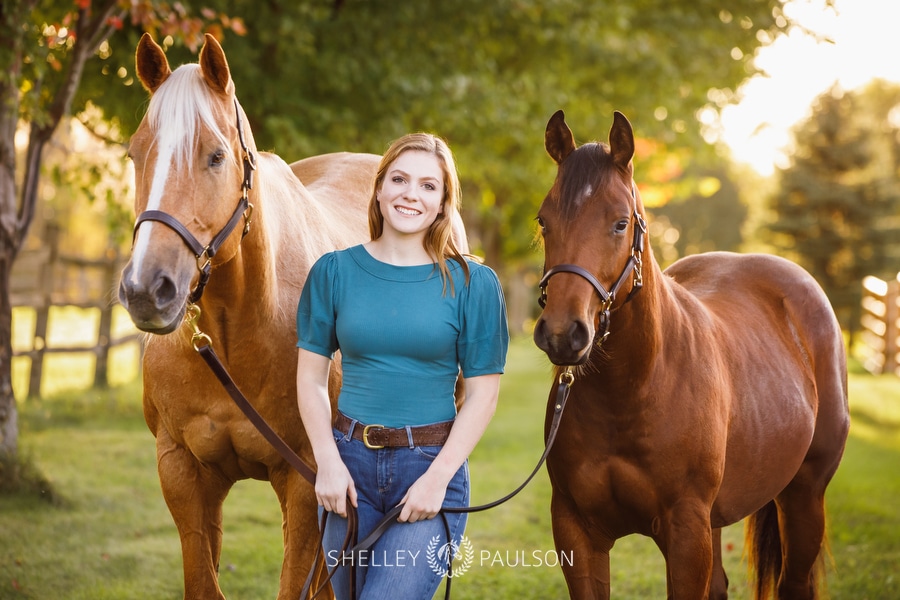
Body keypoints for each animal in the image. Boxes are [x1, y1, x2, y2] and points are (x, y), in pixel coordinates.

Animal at [536, 110, 852, 596]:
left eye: (620, 223)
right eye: (543, 221)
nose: (561, 334)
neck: (631, 393)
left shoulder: (686, 534)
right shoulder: (576, 532)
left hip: (804, 496)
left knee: (794, 583)